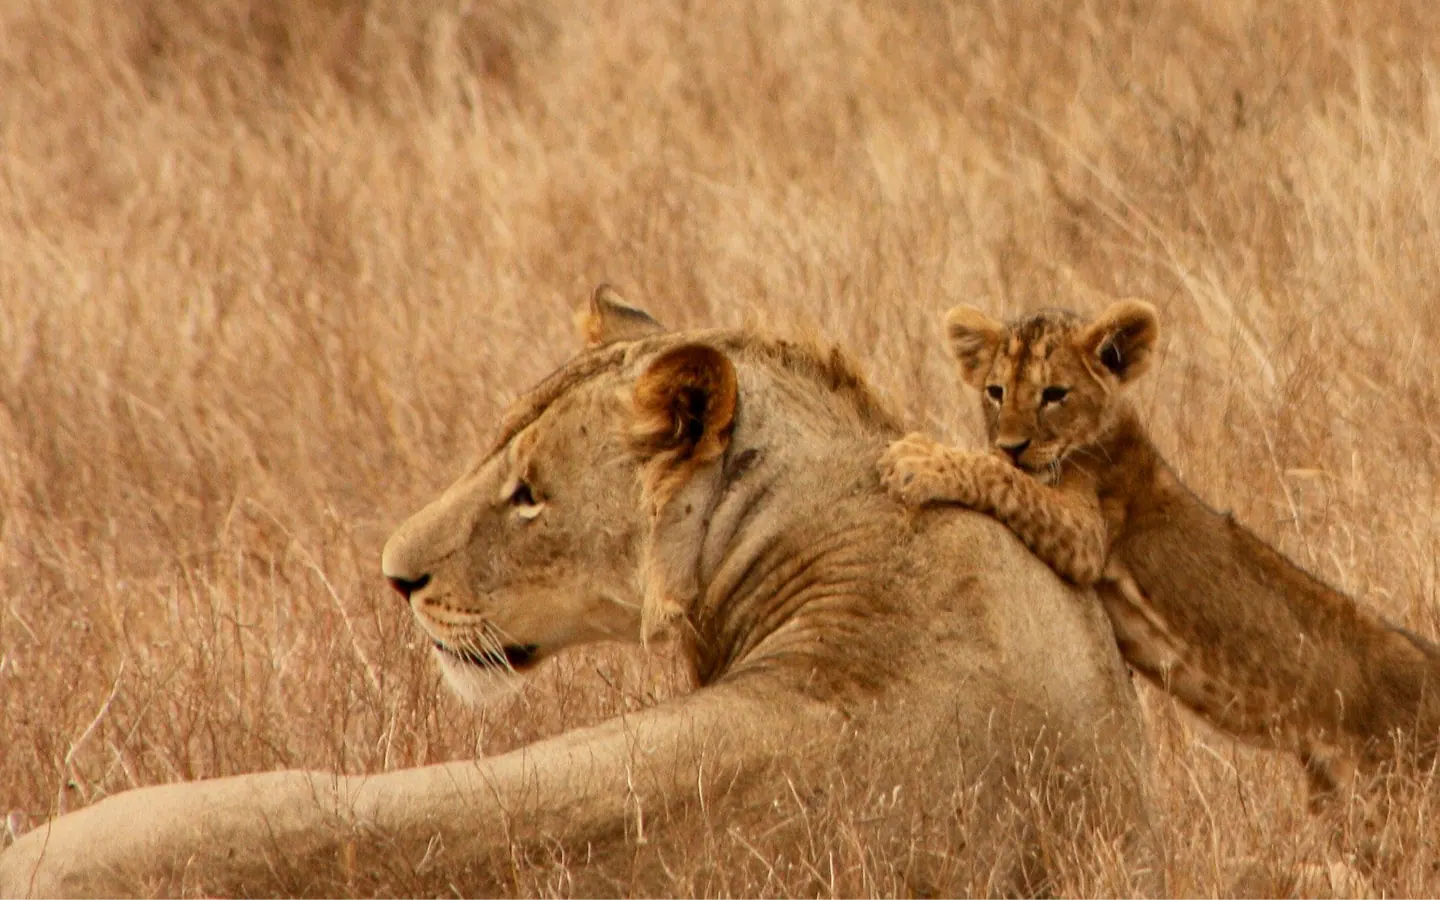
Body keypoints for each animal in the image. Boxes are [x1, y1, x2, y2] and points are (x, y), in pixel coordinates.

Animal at [878, 300, 1440, 823]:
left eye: (1054, 394)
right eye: (996, 391)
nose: (1012, 445)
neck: (1104, 432)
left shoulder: (1087, 535)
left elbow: (1001, 479)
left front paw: (918, 459)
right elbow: (1003, 472)